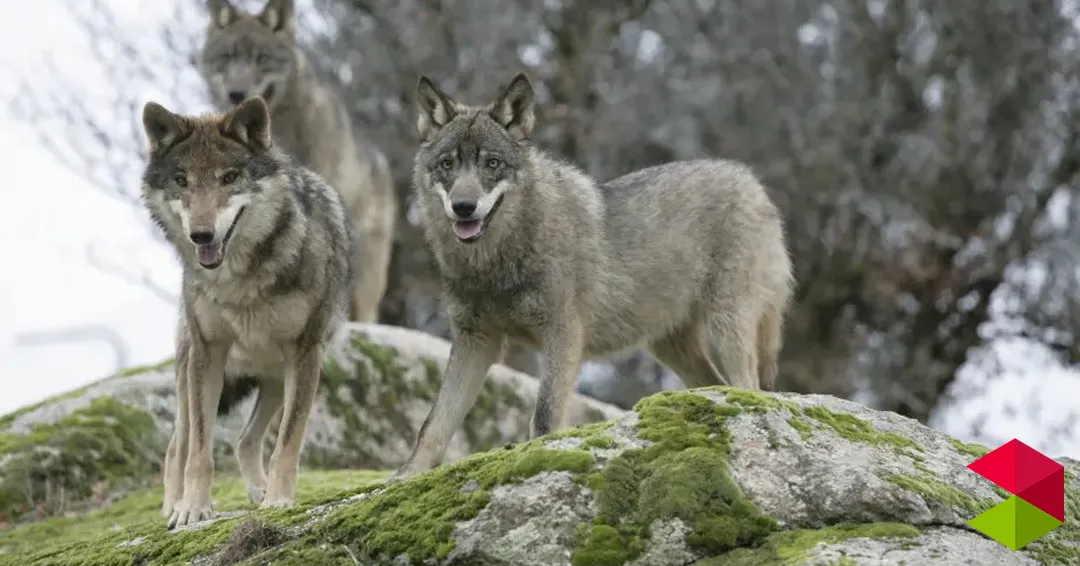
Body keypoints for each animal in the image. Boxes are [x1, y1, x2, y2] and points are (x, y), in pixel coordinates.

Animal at [139, 96, 356, 528]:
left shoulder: (306, 352)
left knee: (245, 441)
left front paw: (278, 500)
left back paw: (260, 492)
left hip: (275, 377)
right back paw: (173, 505)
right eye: (181, 180)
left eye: (229, 177)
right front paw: (193, 509)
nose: (201, 235)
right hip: (190, 375)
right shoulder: (208, 354)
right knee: (177, 446)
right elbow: (200, 451)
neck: (238, 281)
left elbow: (288, 441)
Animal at [392, 73, 795, 481]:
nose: (463, 207)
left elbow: (544, 415)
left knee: (750, 387)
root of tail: (752, 182)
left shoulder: (563, 333)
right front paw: (405, 476)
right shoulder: (476, 341)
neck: (495, 263)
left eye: (492, 163)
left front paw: (539, 460)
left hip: (727, 327)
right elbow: (433, 424)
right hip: (670, 346)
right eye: (447, 164)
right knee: (718, 385)